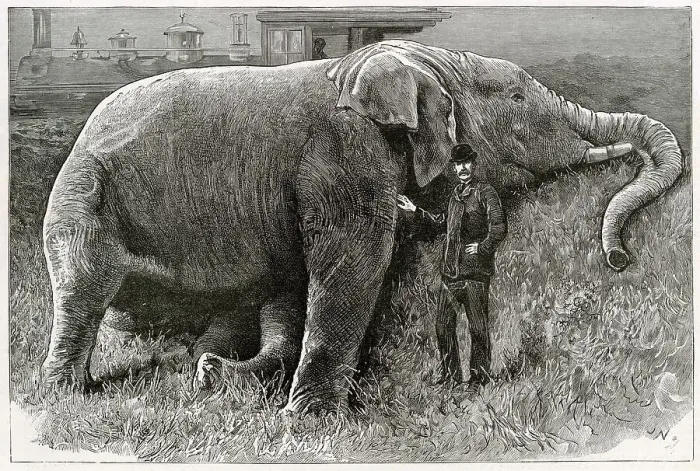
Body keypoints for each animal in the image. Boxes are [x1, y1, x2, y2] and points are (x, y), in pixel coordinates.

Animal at [42, 40, 682, 414]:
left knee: (257, 305)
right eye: (519, 98)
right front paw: (309, 424)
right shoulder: (343, 157)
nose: (619, 257)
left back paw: (211, 374)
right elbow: (354, 267)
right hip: (82, 202)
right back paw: (63, 394)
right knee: (81, 293)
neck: (361, 66)